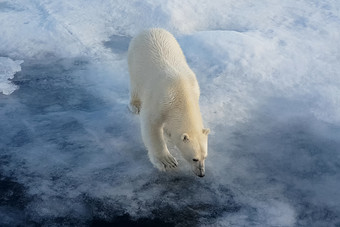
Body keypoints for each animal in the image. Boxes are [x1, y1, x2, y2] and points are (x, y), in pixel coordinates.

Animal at [126, 28, 209, 177]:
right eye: (194, 158)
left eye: (205, 156)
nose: (201, 174)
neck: (181, 91)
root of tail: (148, 29)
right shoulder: (160, 100)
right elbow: (151, 126)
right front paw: (167, 161)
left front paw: (168, 132)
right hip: (135, 61)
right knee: (135, 85)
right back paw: (135, 105)